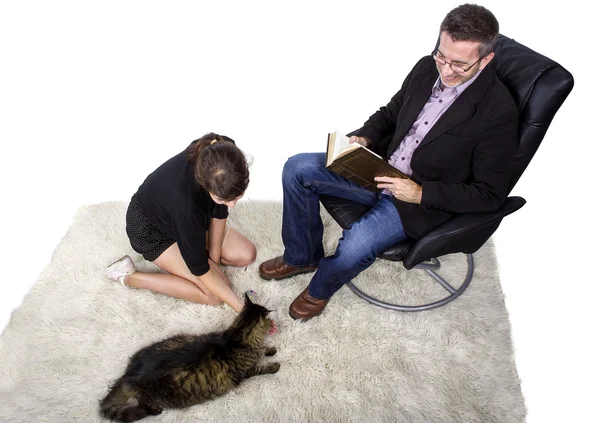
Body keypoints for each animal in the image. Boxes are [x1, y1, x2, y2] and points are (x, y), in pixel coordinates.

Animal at [99, 294, 280, 422]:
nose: (272, 322)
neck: (238, 337)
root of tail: (129, 375)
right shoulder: (247, 371)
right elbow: (261, 368)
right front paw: (274, 365)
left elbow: (263, 350)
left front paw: (271, 349)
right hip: (153, 395)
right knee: (143, 402)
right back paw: (155, 410)